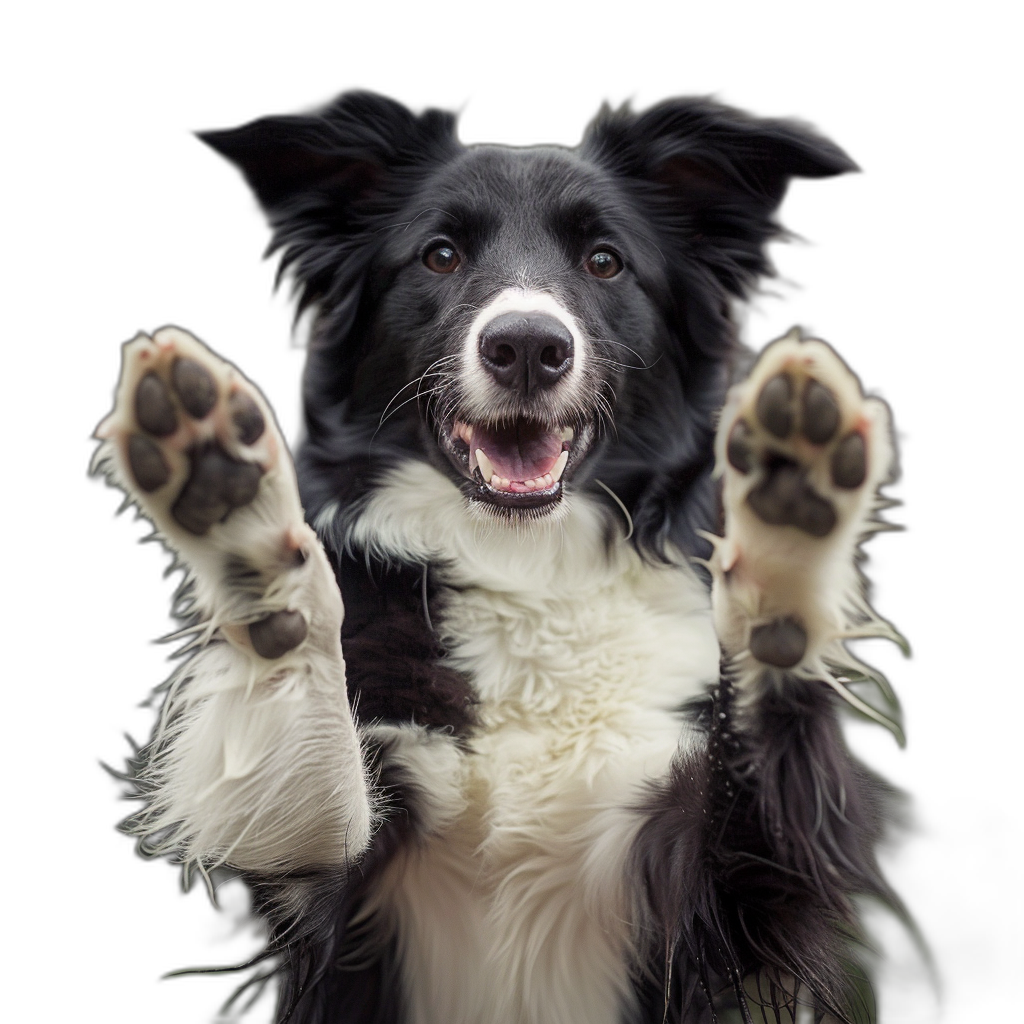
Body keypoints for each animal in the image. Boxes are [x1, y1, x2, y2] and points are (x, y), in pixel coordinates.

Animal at [92, 92, 901, 1019]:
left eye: (604, 261)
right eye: (439, 255)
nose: (526, 346)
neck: (528, 570)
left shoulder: (738, 906)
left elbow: (770, 769)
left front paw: (788, 527)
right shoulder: (321, 886)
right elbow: (306, 748)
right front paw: (234, 511)